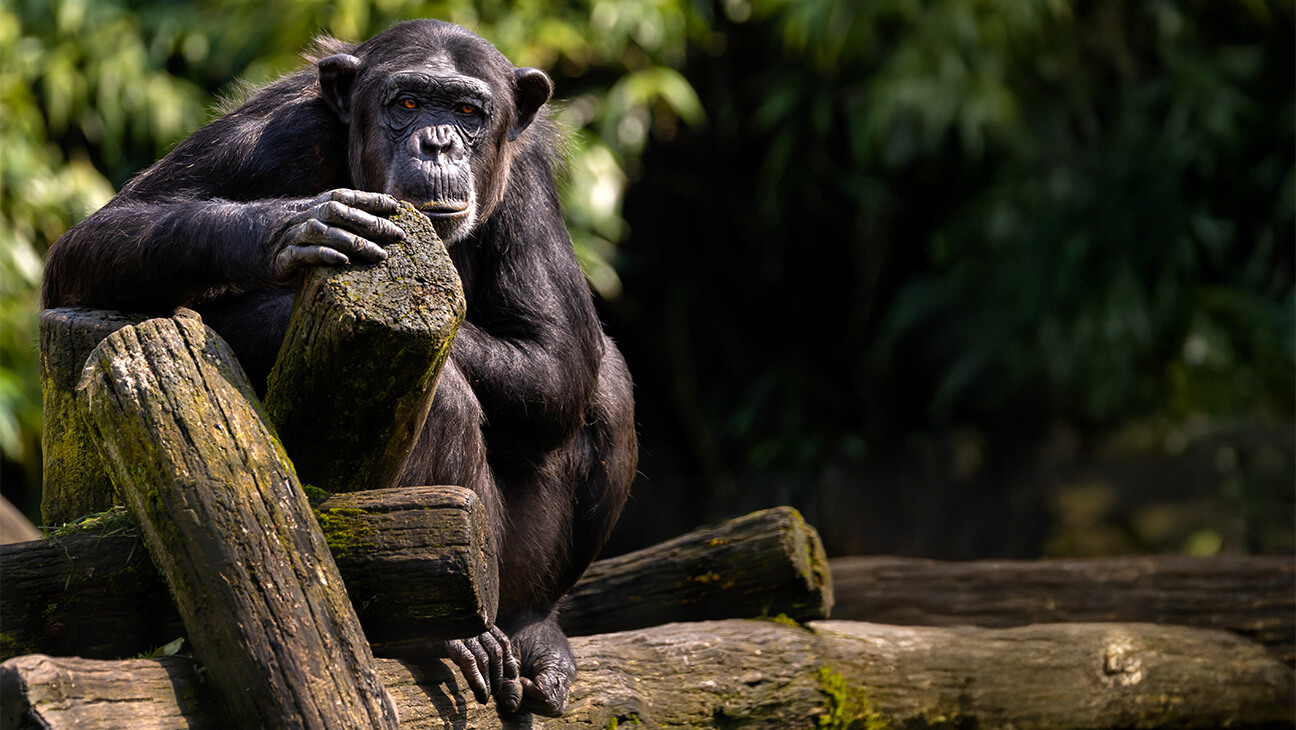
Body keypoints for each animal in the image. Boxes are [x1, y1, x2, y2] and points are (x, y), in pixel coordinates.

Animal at [43, 18, 640, 720]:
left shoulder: (527, 183)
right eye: (408, 103)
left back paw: (533, 631)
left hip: (520, 571)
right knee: (449, 398)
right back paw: (447, 636)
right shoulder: (276, 134)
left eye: (468, 113)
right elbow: (95, 242)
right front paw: (292, 229)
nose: (438, 141)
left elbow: (558, 362)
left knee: (609, 383)